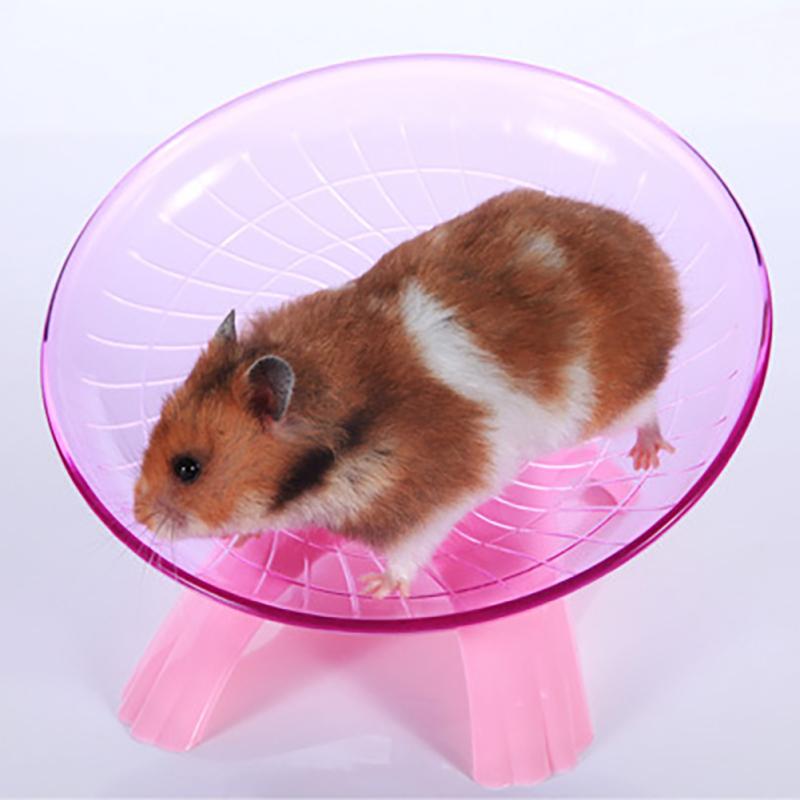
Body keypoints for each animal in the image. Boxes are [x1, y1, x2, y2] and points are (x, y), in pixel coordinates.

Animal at [134, 188, 683, 598]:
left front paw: (375, 589)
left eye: (188, 468)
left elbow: (409, 551)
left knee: (649, 408)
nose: (138, 517)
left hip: (611, 403)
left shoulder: (432, 503)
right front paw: (246, 537)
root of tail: (658, 259)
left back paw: (649, 456)